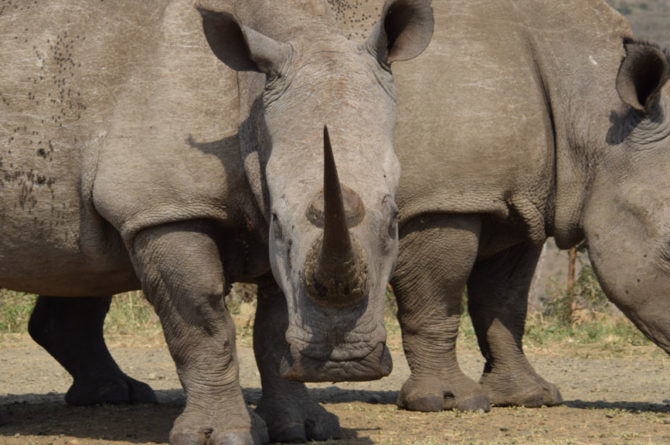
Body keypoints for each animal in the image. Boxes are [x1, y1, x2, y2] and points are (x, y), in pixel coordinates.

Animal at [0, 0, 434, 440]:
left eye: (394, 221)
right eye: (278, 221)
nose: (342, 364)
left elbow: (272, 329)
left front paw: (304, 427)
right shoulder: (165, 209)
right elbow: (202, 324)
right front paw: (221, 435)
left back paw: (117, 395)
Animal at [342, 0, 670, 412]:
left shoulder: (515, 207)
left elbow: (504, 302)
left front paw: (530, 397)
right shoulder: (442, 200)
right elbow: (436, 301)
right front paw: (448, 401)